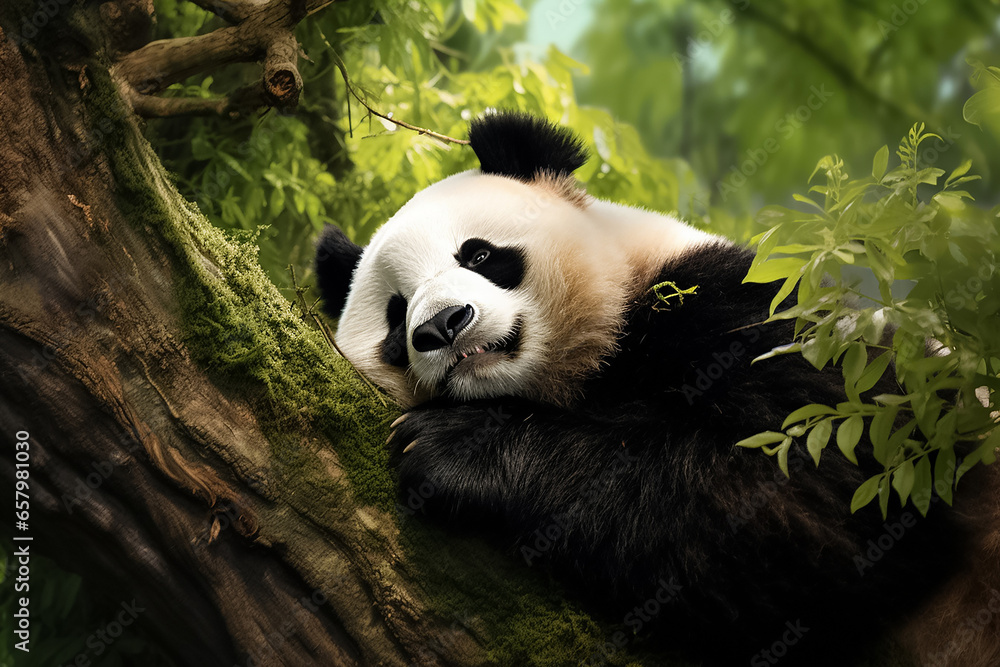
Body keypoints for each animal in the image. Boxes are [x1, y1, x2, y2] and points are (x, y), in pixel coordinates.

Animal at [315, 112, 992, 666]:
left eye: (478, 255)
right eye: (396, 316)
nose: (443, 325)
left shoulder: (741, 310)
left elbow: (805, 484)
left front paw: (452, 449)